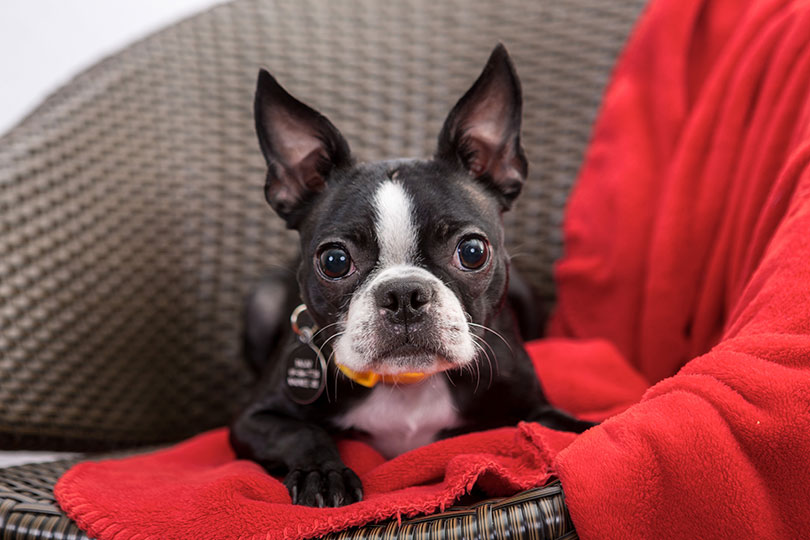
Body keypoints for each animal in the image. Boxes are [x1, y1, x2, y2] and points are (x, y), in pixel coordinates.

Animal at [230, 44, 592, 508]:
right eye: (334, 261)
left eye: (472, 252)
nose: (403, 294)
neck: (410, 383)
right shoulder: (251, 419)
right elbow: (300, 431)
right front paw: (322, 473)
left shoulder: (531, 406)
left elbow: (567, 426)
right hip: (262, 301)